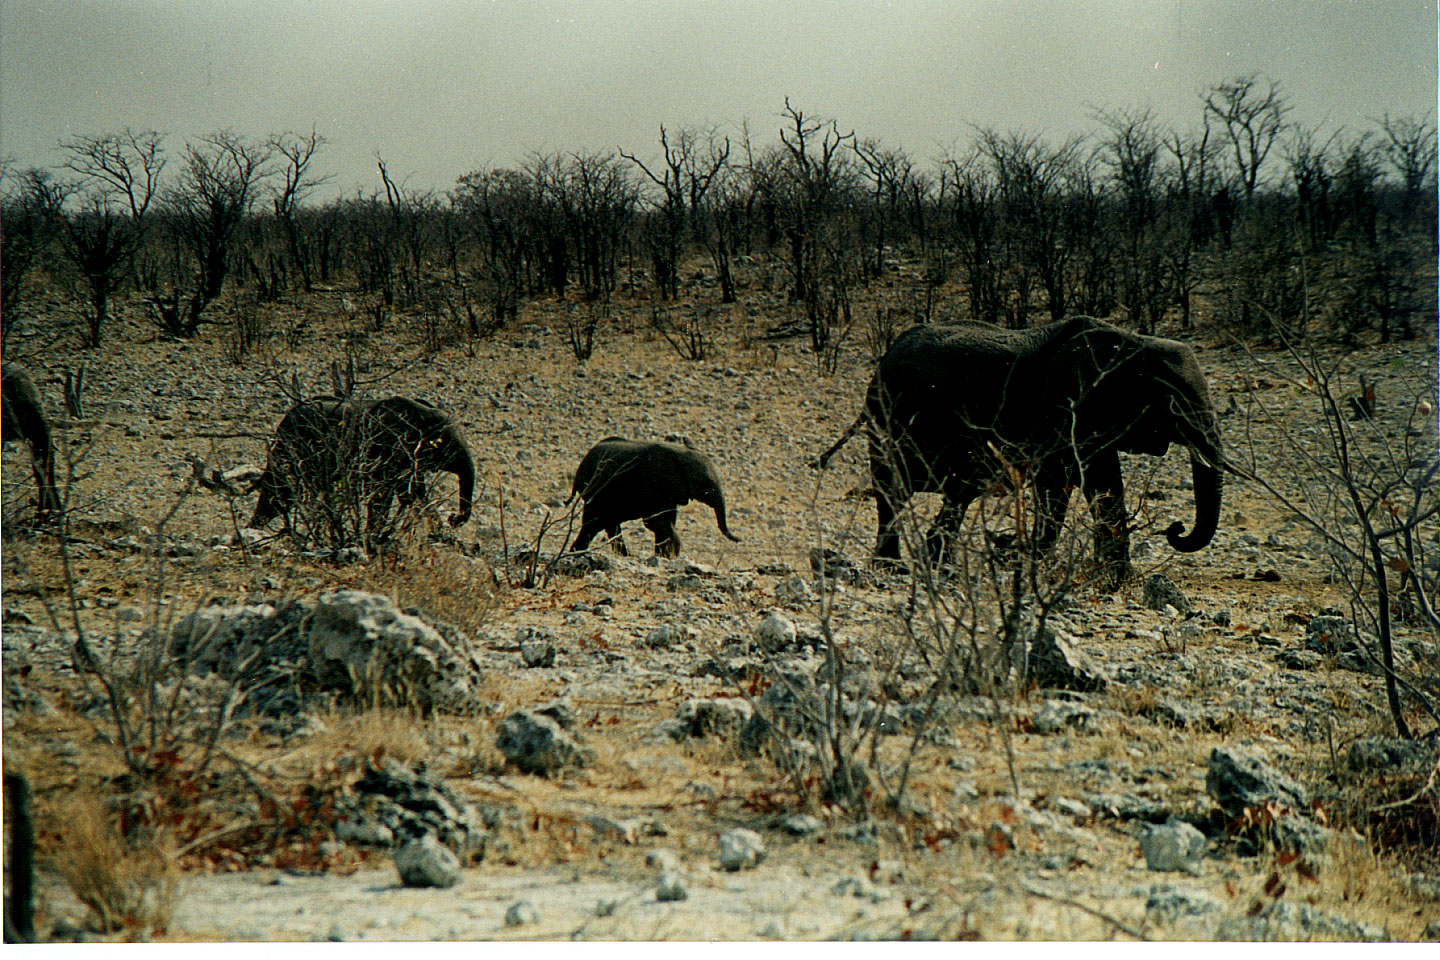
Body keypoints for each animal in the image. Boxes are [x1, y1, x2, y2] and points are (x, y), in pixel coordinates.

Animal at [246, 394, 472, 538]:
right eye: (450, 448)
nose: (453, 518)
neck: (422, 413)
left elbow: (412, 492)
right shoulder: (388, 448)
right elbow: (386, 494)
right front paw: (374, 535)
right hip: (292, 450)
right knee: (279, 493)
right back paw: (252, 532)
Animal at [564, 434, 743, 555]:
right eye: (705, 484)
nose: (740, 539)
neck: (679, 455)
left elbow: (667, 519)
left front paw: (664, 556)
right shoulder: (651, 485)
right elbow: (653, 521)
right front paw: (672, 554)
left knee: (606, 524)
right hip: (594, 492)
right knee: (592, 524)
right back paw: (575, 554)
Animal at [817, 316, 1221, 587]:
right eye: (1172, 403)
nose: (1175, 529)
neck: (1132, 342)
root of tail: (885, 357)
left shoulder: (1092, 421)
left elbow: (1104, 484)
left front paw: (1115, 579)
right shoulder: (1062, 409)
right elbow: (1055, 485)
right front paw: (1013, 551)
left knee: (950, 494)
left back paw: (935, 566)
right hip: (887, 415)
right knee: (897, 491)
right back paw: (898, 569)